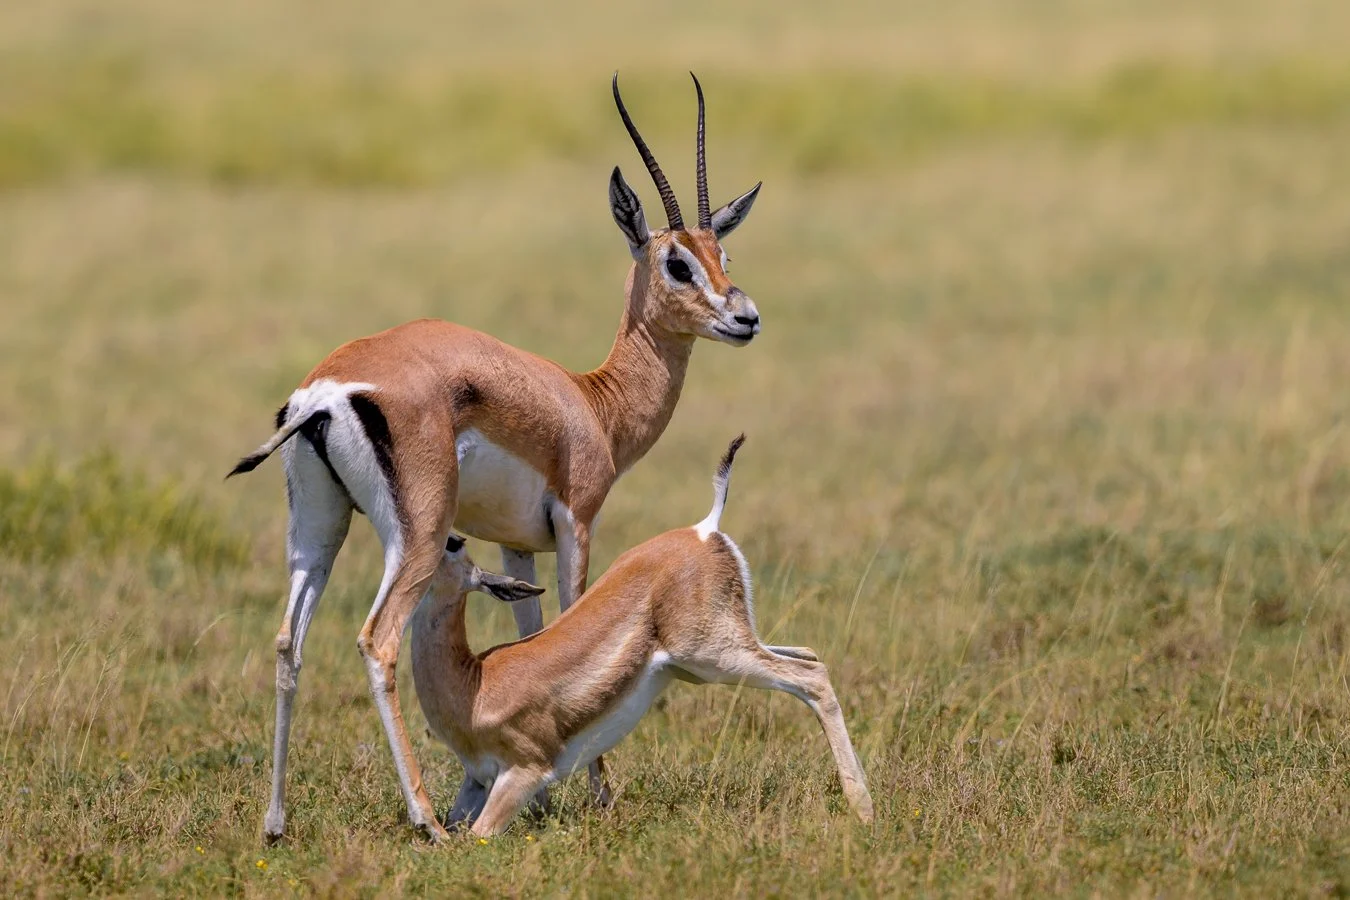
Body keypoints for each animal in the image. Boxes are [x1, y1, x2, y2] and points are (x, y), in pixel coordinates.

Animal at [228, 73, 765, 844]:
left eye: (725, 256)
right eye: (677, 263)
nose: (745, 318)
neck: (592, 402)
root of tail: (327, 392)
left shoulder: (515, 548)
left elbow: (533, 631)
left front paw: (542, 796)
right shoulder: (576, 524)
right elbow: (577, 615)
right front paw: (598, 796)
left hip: (318, 532)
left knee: (285, 641)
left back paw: (275, 822)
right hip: (416, 538)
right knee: (377, 641)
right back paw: (425, 819)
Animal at [409, 436, 875, 836]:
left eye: (453, 543)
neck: (475, 683)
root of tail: (705, 529)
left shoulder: (524, 772)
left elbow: (476, 836)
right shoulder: (477, 779)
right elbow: (450, 829)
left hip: (715, 658)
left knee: (812, 678)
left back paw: (863, 808)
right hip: (710, 660)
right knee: (810, 656)